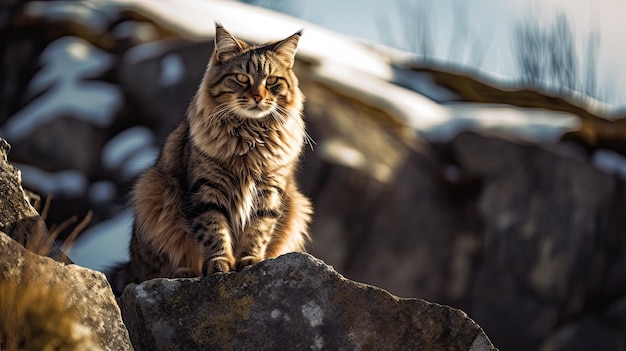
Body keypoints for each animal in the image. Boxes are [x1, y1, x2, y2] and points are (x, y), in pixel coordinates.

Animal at [109, 23, 312, 296]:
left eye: (271, 81)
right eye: (242, 78)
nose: (258, 97)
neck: (249, 139)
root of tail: (131, 264)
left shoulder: (269, 191)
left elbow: (258, 230)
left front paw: (250, 260)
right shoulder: (207, 189)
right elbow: (214, 230)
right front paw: (220, 263)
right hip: (151, 189)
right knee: (153, 271)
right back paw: (185, 272)